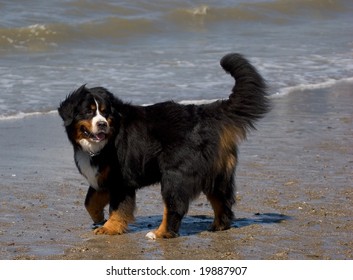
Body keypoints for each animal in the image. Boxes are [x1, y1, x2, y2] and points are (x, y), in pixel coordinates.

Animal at [57, 53, 268, 240]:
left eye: (105, 112)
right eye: (88, 112)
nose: (102, 124)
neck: (103, 143)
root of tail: (205, 113)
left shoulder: (120, 179)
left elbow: (117, 207)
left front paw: (109, 228)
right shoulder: (102, 176)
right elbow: (89, 201)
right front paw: (99, 218)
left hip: (175, 175)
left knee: (175, 207)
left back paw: (161, 233)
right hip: (216, 173)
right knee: (222, 201)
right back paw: (218, 226)